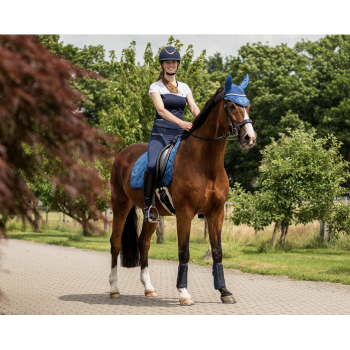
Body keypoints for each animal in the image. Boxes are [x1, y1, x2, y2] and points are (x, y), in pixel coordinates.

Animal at [109, 75, 258, 304]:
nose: (249, 138)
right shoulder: (185, 213)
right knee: (115, 243)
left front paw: (224, 292)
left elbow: (217, 251)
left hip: (153, 215)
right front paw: (183, 293)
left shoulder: (216, 213)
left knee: (144, 243)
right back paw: (114, 288)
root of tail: (123, 153)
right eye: (232, 105)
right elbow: (183, 251)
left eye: (247, 105)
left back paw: (149, 288)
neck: (205, 164)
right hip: (120, 205)